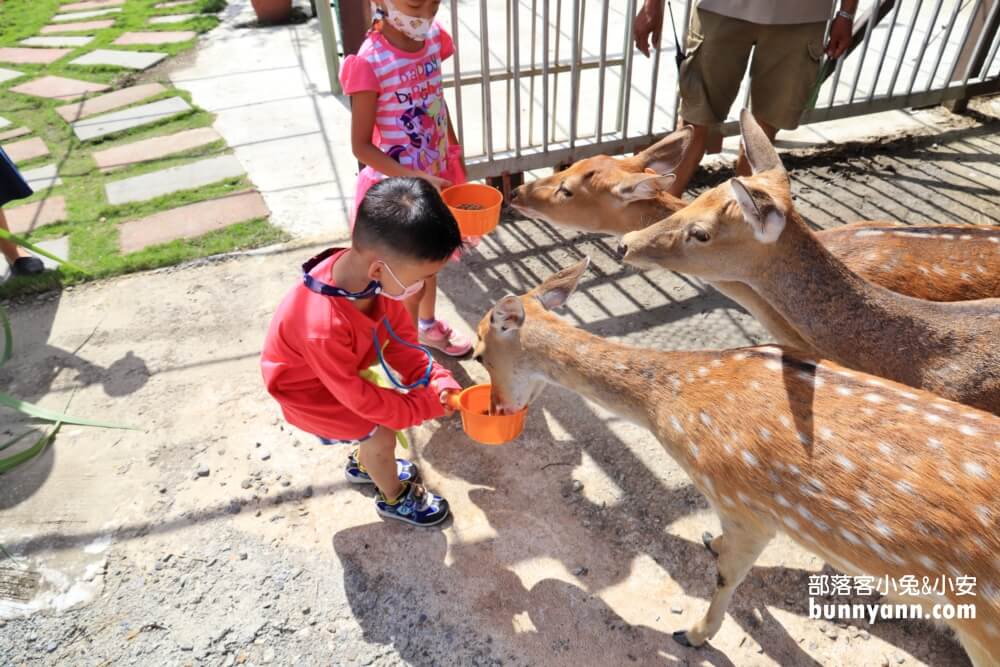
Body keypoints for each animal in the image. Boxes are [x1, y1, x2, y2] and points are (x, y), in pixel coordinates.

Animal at [474, 258, 1000, 664]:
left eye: (479, 353)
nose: (497, 408)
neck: (670, 407)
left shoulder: (747, 505)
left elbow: (728, 575)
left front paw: (692, 634)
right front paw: (709, 539)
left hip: (983, 627)